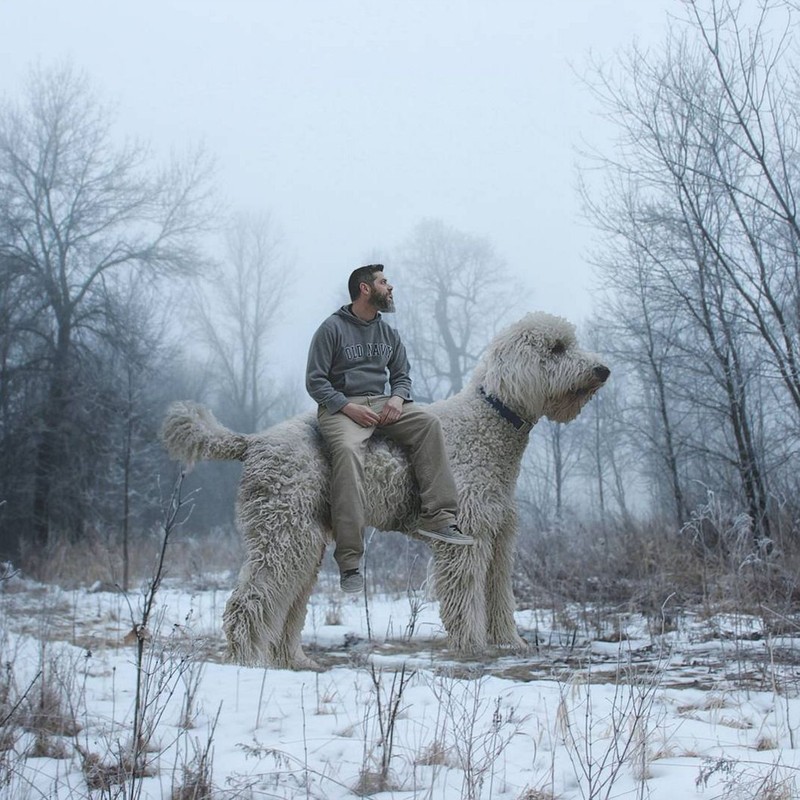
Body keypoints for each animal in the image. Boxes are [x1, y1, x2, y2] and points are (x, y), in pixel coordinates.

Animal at [164, 312, 612, 668]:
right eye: (556, 348)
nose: (602, 370)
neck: (486, 428)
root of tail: (253, 441)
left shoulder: (499, 535)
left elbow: (499, 594)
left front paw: (510, 643)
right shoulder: (465, 539)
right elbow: (466, 597)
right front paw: (473, 647)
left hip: (302, 542)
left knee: (288, 606)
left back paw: (294, 661)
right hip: (283, 534)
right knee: (248, 601)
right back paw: (246, 661)